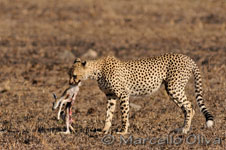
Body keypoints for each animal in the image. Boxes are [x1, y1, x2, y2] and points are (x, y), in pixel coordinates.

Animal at [68, 53, 214, 135]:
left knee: (190, 107)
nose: (70, 82)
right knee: (187, 108)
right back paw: (182, 128)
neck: (97, 70)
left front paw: (123, 131)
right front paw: (104, 130)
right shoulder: (110, 96)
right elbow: (108, 114)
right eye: (69, 74)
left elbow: (124, 115)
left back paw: (184, 130)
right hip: (173, 88)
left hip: (174, 87)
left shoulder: (123, 94)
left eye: (74, 75)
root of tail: (188, 58)